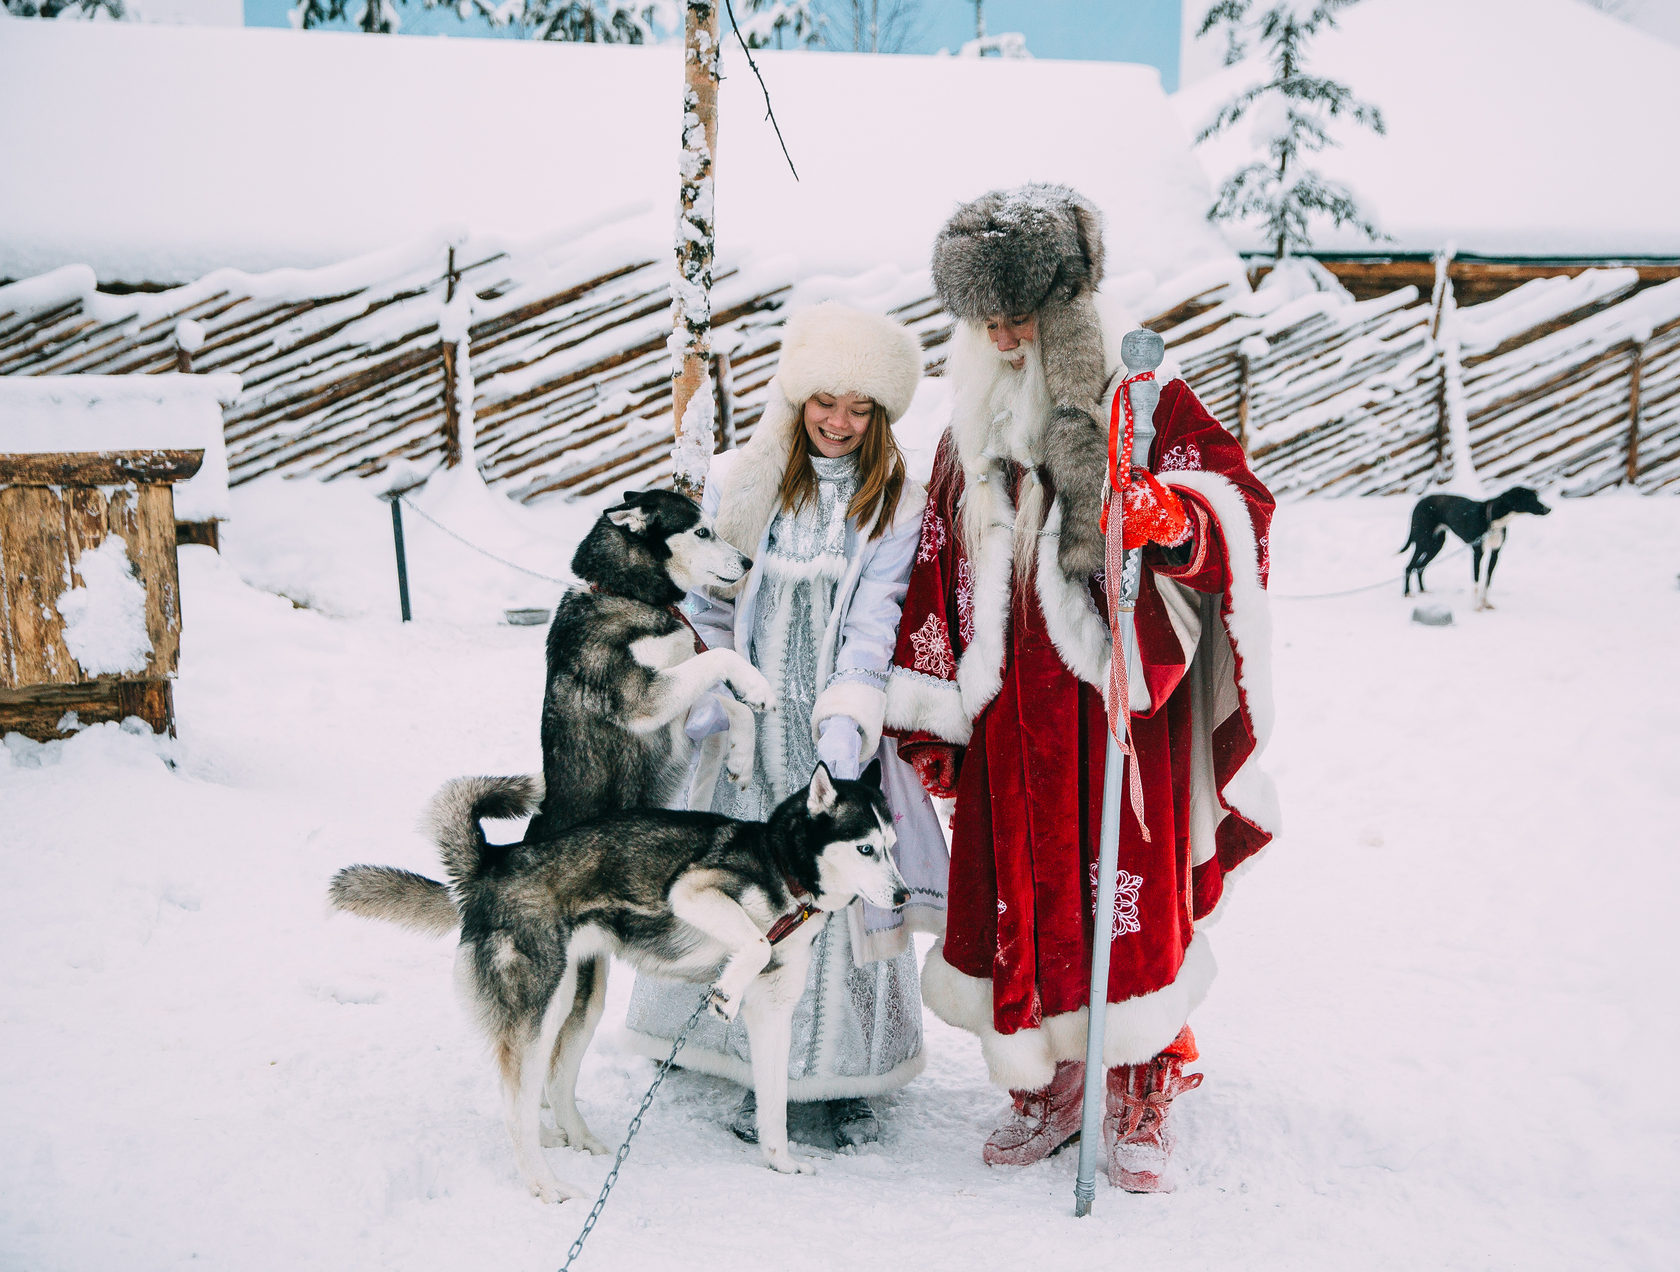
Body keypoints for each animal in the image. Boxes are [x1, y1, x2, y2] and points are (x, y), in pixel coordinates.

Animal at [520, 487, 769, 843]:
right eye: (702, 532)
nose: (748, 562)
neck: (626, 594)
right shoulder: (643, 699)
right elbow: (720, 656)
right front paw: (757, 685)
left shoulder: (677, 702)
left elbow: (730, 705)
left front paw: (741, 758)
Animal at [1397, 483, 1552, 608]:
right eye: (1531, 498)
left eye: (1536, 497)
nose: (1548, 509)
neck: (1493, 521)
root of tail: (1419, 502)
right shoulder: (1477, 552)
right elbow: (1477, 581)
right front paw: (1477, 606)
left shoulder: (1495, 554)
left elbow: (1487, 581)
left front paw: (1486, 604)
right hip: (1423, 541)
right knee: (1409, 567)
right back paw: (1407, 593)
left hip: (1436, 545)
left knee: (1420, 567)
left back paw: (1423, 590)